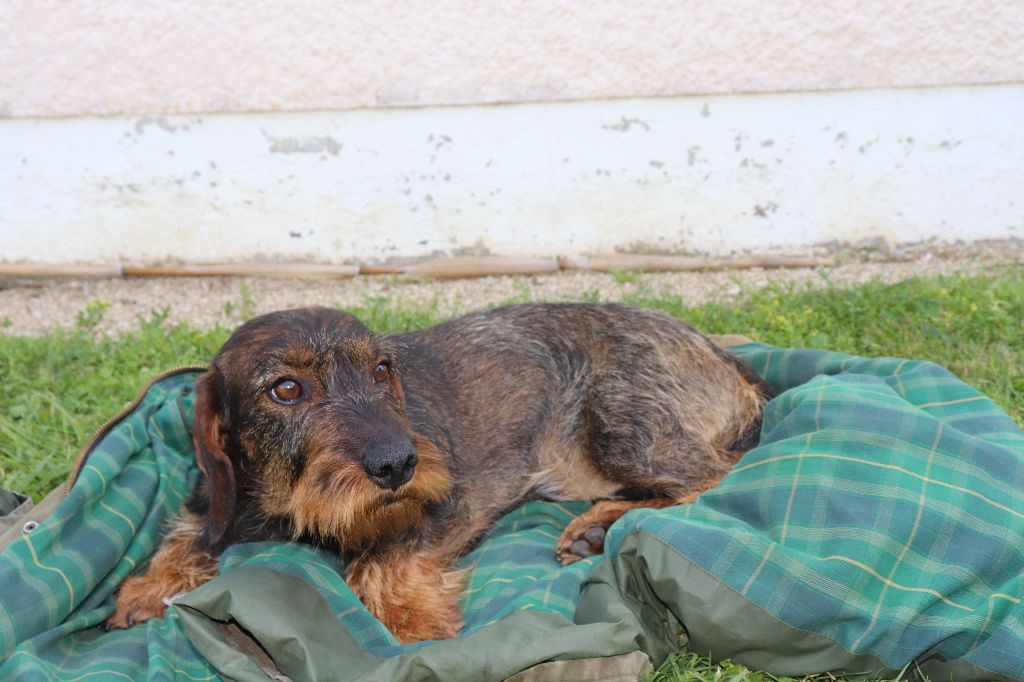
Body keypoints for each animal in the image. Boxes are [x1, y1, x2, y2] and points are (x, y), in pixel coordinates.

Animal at [108, 301, 770, 638]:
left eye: (381, 370)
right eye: (286, 389)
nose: (398, 463)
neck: (286, 504)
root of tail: (724, 355)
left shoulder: (436, 505)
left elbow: (381, 563)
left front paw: (412, 620)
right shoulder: (218, 500)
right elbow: (192, 532)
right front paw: (149, 585)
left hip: (623, 420)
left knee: (716, 474)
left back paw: (598, 525)